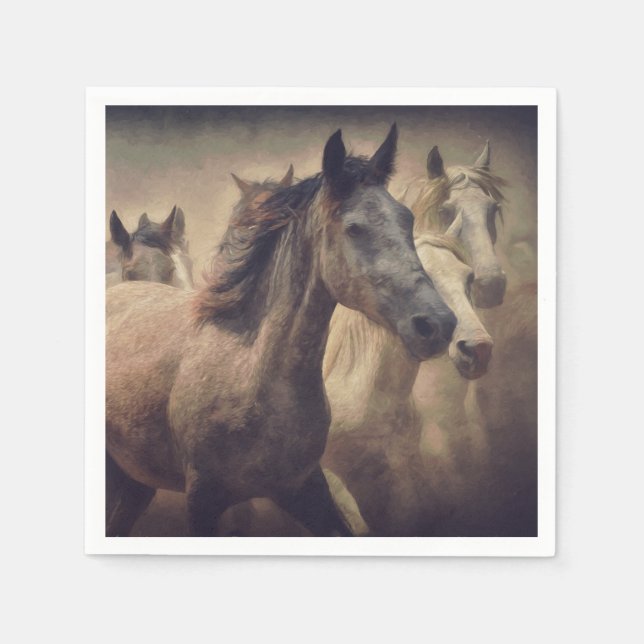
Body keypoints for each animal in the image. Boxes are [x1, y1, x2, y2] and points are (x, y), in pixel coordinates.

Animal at [105, 124, 457, 537]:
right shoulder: (203, 501)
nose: (437, 324)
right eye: (354, 228)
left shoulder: (304, 488)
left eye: (406, 220)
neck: (253, 372)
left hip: (136, 481)